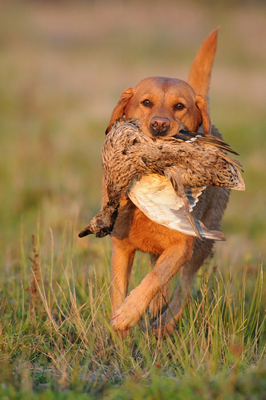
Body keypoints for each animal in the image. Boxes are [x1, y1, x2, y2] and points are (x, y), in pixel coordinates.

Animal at [102, 28, 231, 334]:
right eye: (146, 102)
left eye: (180, 106)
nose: (159, 125)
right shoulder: (121, 248)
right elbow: (119, 290)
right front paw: (120, 330)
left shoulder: (182, 246)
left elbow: (156, 278)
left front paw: (128, 313)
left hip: (202, 245)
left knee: (182, 291)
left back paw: (163, 325)